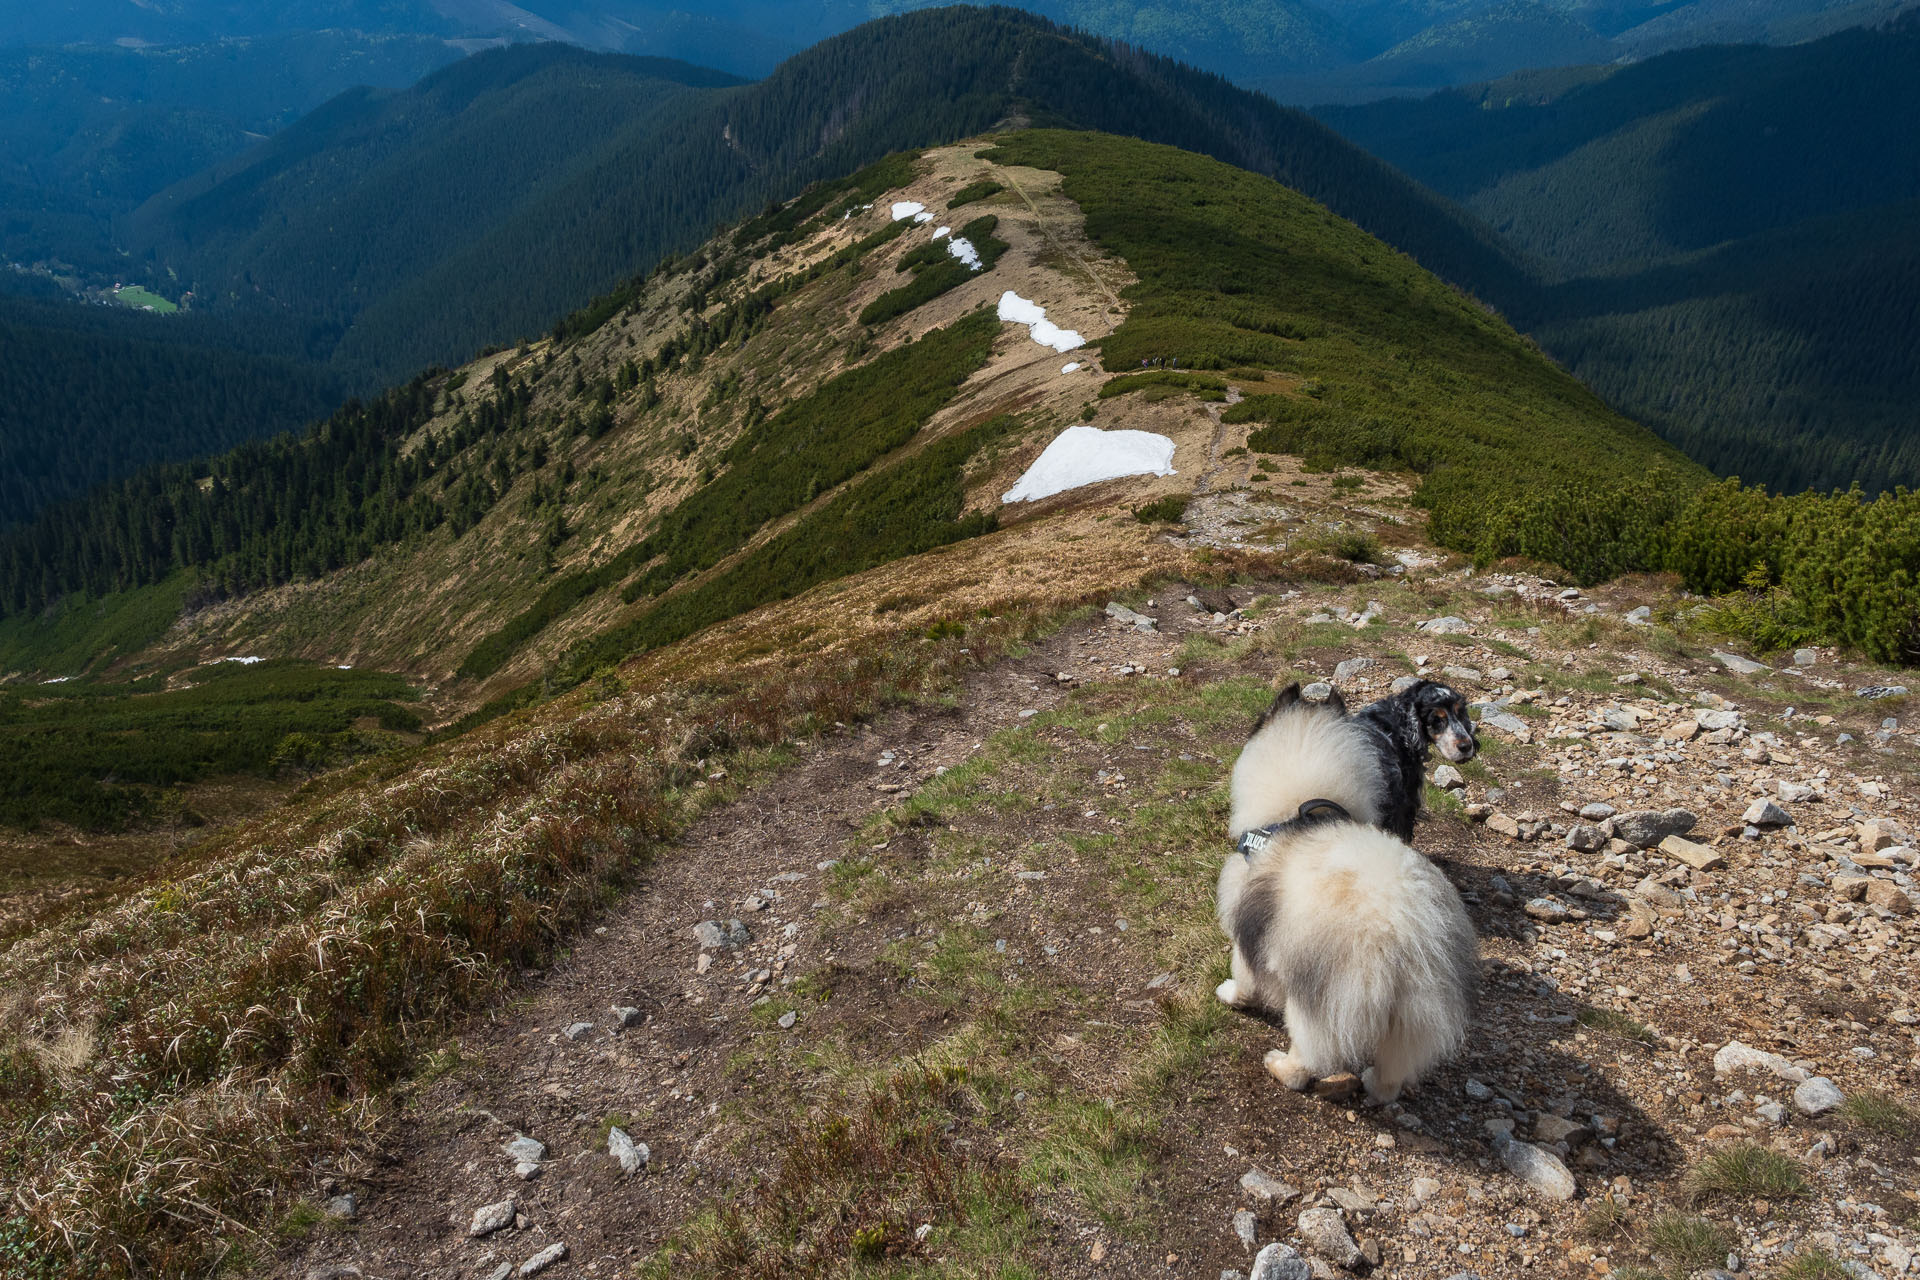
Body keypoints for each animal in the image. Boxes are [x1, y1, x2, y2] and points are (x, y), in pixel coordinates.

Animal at [1221, 687, 1474, 1105]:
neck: (1304, 798)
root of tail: (1405, 934)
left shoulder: (1248, 925)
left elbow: (1243, 976)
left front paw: (1230, 994)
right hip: (1414, 1014)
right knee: (1393, 1070)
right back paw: (1376, 1084)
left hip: (1315, 1001)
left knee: (1309, 1058)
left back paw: (1280, 1066)